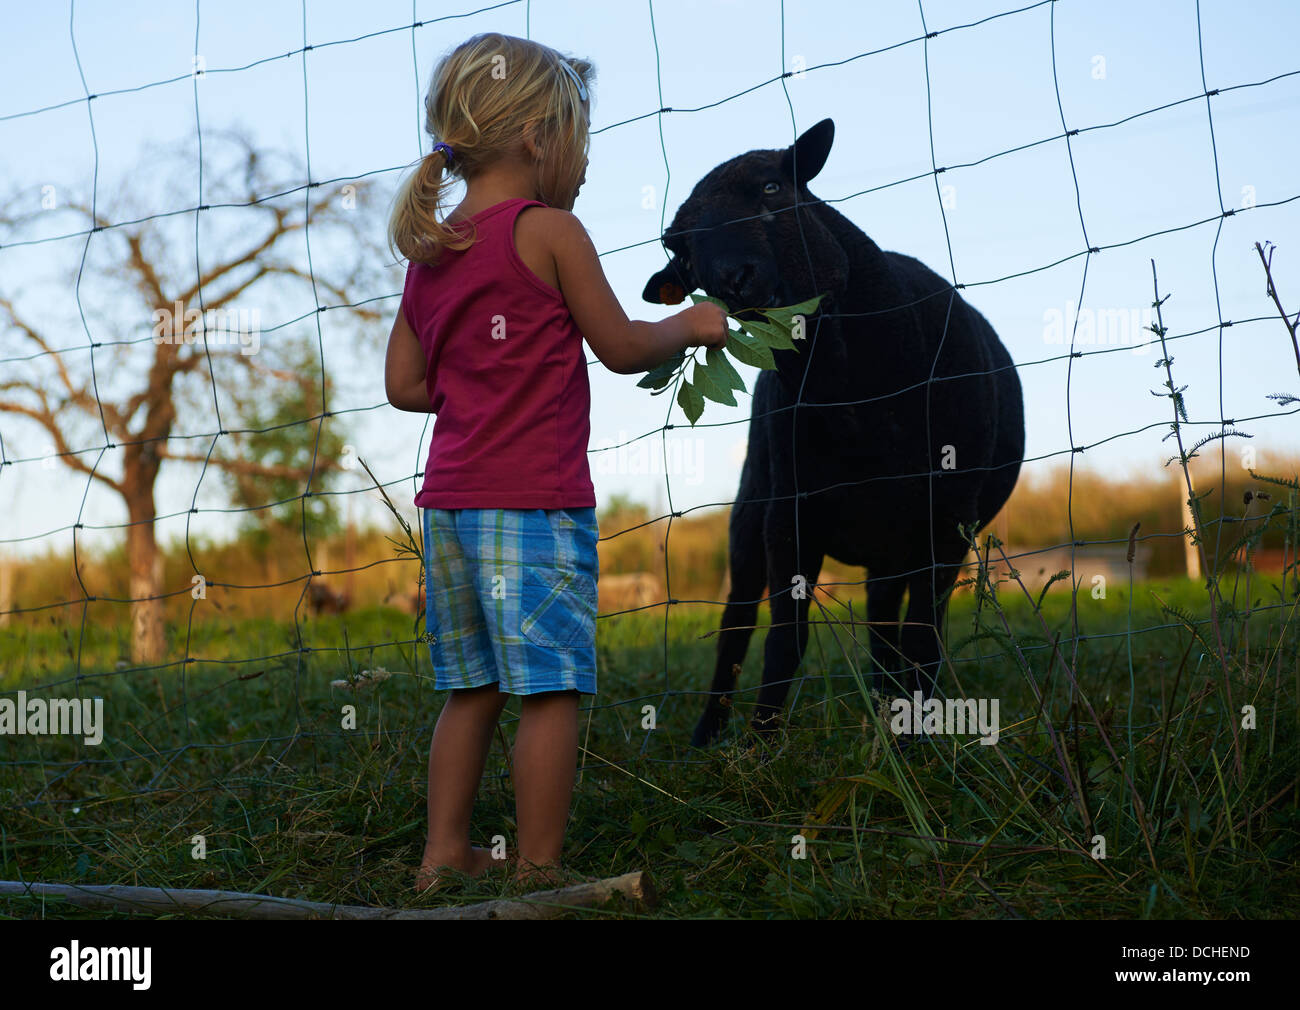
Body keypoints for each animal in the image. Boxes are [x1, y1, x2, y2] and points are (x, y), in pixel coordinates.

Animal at [639, 120, 1024, 748]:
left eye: (773, 187)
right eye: (682, 249)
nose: (735, 280)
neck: (855, 396)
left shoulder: (948, 520)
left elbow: (922, 638)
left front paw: (914, 745)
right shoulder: (790, 513)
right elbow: (784, 636)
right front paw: (761, 745)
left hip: (896, 542)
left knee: (889, 627)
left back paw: (890, 708)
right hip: (754, 503)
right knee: (736, 624)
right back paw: (707, 735)